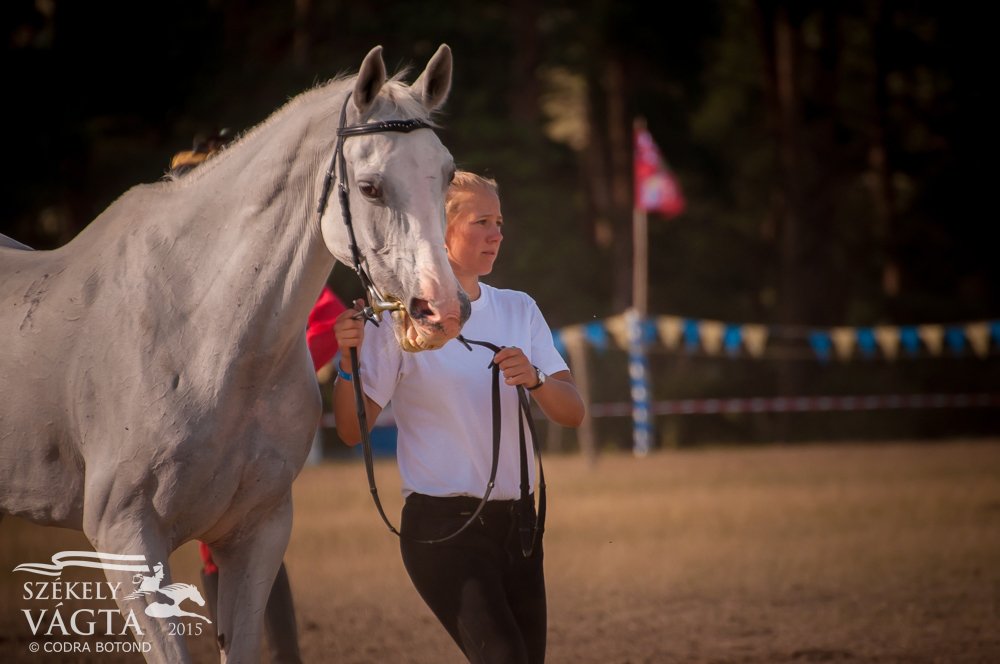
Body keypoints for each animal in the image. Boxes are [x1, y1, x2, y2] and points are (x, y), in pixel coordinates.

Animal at [0, 44, 468, 660]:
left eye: (446, 176)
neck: (206, 340)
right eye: (370, 187)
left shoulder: (257, 532)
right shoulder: (125, 536)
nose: (442, 309)